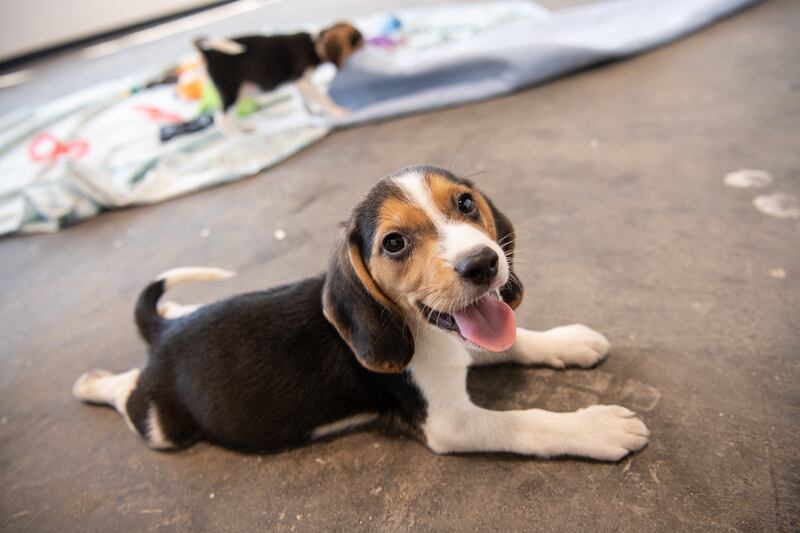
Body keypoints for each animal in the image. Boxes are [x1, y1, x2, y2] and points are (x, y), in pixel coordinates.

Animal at [73, 165, 649, 460]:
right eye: (394, 243)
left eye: (465, 204)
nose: (484, 263)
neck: (421, 330)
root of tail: (164, 335)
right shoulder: (448, 422)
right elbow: (526, 423)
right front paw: (597, 428)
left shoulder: (461, 343)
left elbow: (515, 338)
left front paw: (568, 340)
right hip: (160, 422)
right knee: (126, 394)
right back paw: (92, 380)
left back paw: (175, 304)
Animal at [194, 22, 363, 132]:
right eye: (358, 42)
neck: (313, 43)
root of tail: (208, 52)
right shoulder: (302, 80)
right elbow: (323, 99)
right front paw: (341, 112)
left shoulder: (299, 82)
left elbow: (305, 100)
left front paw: (312, 112)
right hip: (230, 89)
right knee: (221, 119)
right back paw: (238, 136)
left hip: (240, 90)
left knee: (230, 115)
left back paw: (244, 127)